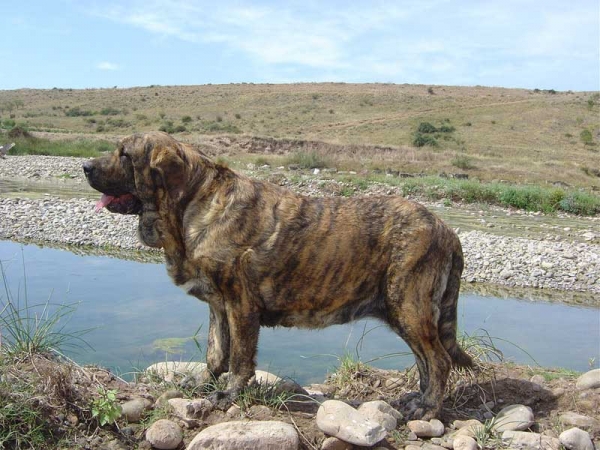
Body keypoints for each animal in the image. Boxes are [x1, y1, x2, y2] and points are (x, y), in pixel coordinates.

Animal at [82, 132, 472, 420]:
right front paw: (204, 385)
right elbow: (215, 353)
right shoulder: (218, 306)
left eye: (125, 155)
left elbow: (239, 357)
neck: (193, 204)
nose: (85, 165)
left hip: (408, 306)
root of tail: (446, 230)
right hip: (405, 313)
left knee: (438, 361)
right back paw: (417, 399)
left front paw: (230, 393)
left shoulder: (240, 304)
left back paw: (427, 408)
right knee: (426, 362)